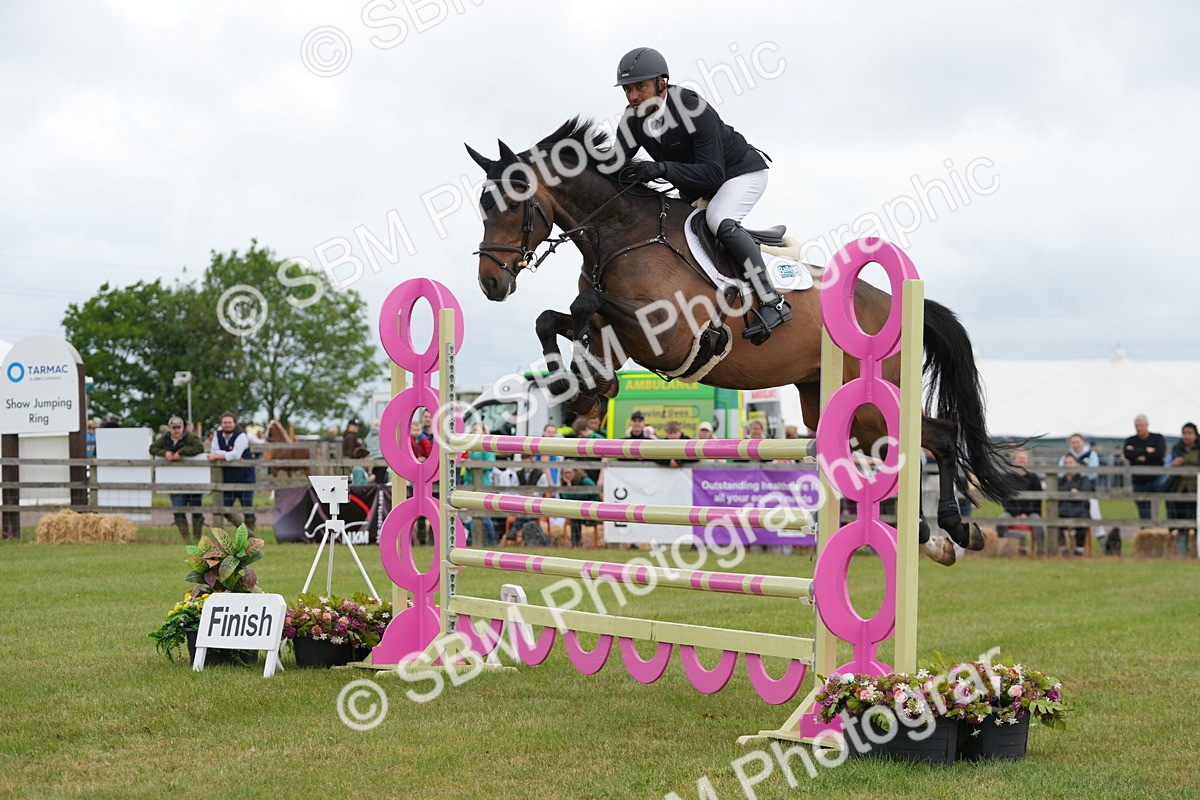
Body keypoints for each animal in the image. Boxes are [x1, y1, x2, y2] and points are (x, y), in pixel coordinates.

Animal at [464, 117, 1022, 565]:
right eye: (482, 205)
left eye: (510, 204)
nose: (490, 283)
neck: (620, 232)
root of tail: (893, 303)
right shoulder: (619, 338)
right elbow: (553, 318)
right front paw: (581, 389)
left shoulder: (669, 334)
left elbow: (583, 306)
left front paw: (584, 389)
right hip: (835, 407)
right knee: (899, 450)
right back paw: (930, 536)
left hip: (872, 401)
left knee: (940, 436)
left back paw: (952, 529)